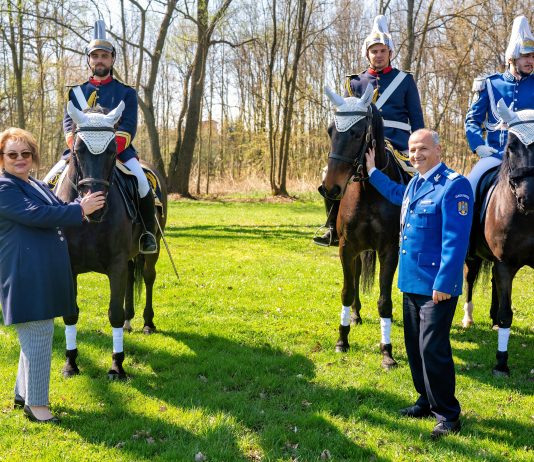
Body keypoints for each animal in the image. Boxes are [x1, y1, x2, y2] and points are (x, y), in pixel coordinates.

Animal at [55, 101, 168, 379]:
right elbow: (71, 314)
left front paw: (117, 366)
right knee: (131, 279)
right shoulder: (69, 266)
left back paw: (147, 322)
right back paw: (129, 321)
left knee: (148, 277)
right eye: (78, 149)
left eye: (112, 150)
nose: (94, 205)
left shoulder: (116, 263)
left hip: (152, 250)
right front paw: (70, 363)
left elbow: (113, 313)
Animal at [321, 85, 411, 368]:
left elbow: (384, 301)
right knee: (358, 275)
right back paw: (356, 315)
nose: (330, 188)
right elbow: (347, 291)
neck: (370, 189)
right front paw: (342, 340)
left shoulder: (389, 251)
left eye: (358, 132)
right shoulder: (347, 248)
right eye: (331, 130)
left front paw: (387, 352)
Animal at [463, 101, 534, 376]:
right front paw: (501, 363)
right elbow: (507, 314)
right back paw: (468, 318)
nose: (528, 198)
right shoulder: (506, 263)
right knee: (470, 280)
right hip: (472, 256)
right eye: (511, 147)